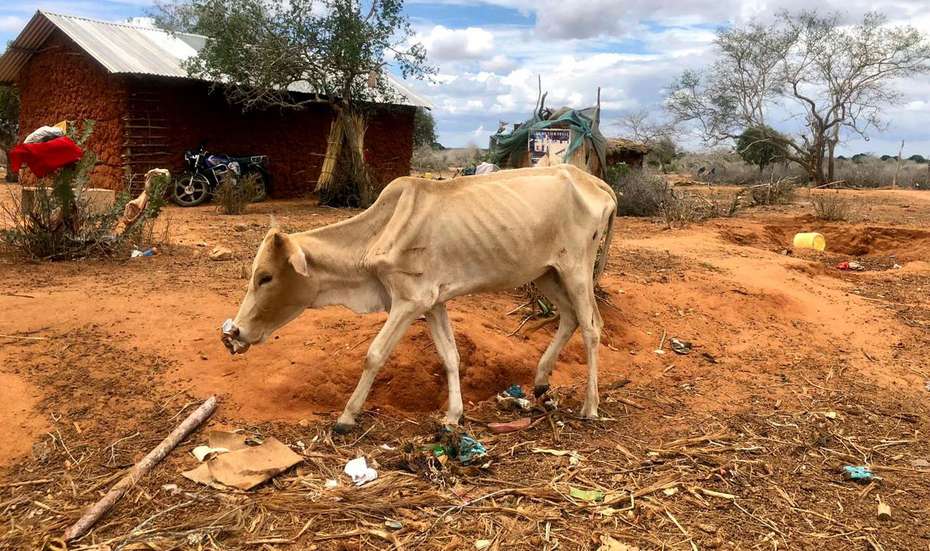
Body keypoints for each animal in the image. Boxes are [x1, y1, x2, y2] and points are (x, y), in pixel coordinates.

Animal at [221, 166, 616, 434]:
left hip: (576, 270)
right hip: (546, 273)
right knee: (569, 318)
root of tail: (594, 182)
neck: (377, 234)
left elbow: (374, 355)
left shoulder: (409, 302)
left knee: (592, 326)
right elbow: (451, 357)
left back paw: (590, 405)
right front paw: (452, 416)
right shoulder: (433, 302)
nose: (235, 333)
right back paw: (541, 382)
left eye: (265, 277)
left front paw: (347, 416)